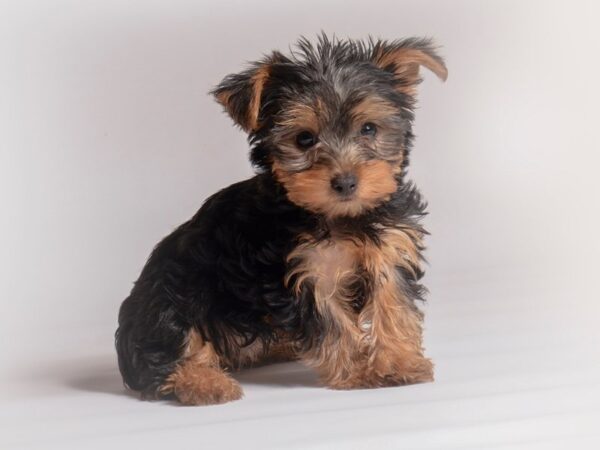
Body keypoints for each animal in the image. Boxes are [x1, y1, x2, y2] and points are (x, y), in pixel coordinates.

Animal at [116, 35, 446, 406]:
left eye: (369, 129)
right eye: (304, 138)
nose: (346, 182)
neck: (341, 217)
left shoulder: (389, 248)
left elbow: (394, 304)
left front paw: (400, 363)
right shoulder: (306, 272)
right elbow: (331, 323)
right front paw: (359, 371)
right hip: (172, 303)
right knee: (169, 356)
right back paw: (206, 383)